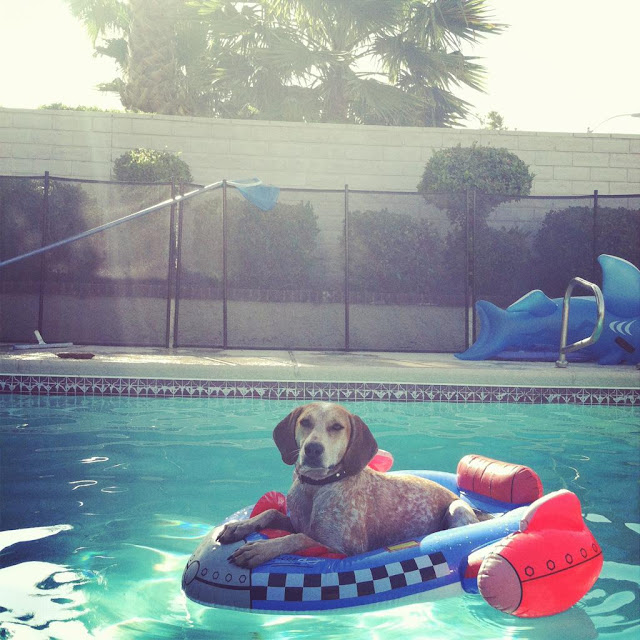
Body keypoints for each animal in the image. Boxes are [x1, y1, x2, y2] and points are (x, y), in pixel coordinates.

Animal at [218, 402, 478, 568]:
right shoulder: (294, 521)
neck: (316, 487)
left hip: (457, 510)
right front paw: (239, 526)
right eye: (305, 422)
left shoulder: (345, 549)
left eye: (337, 427)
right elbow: (271, 512)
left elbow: (298, 538)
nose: (313, 449)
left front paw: (260, 549)